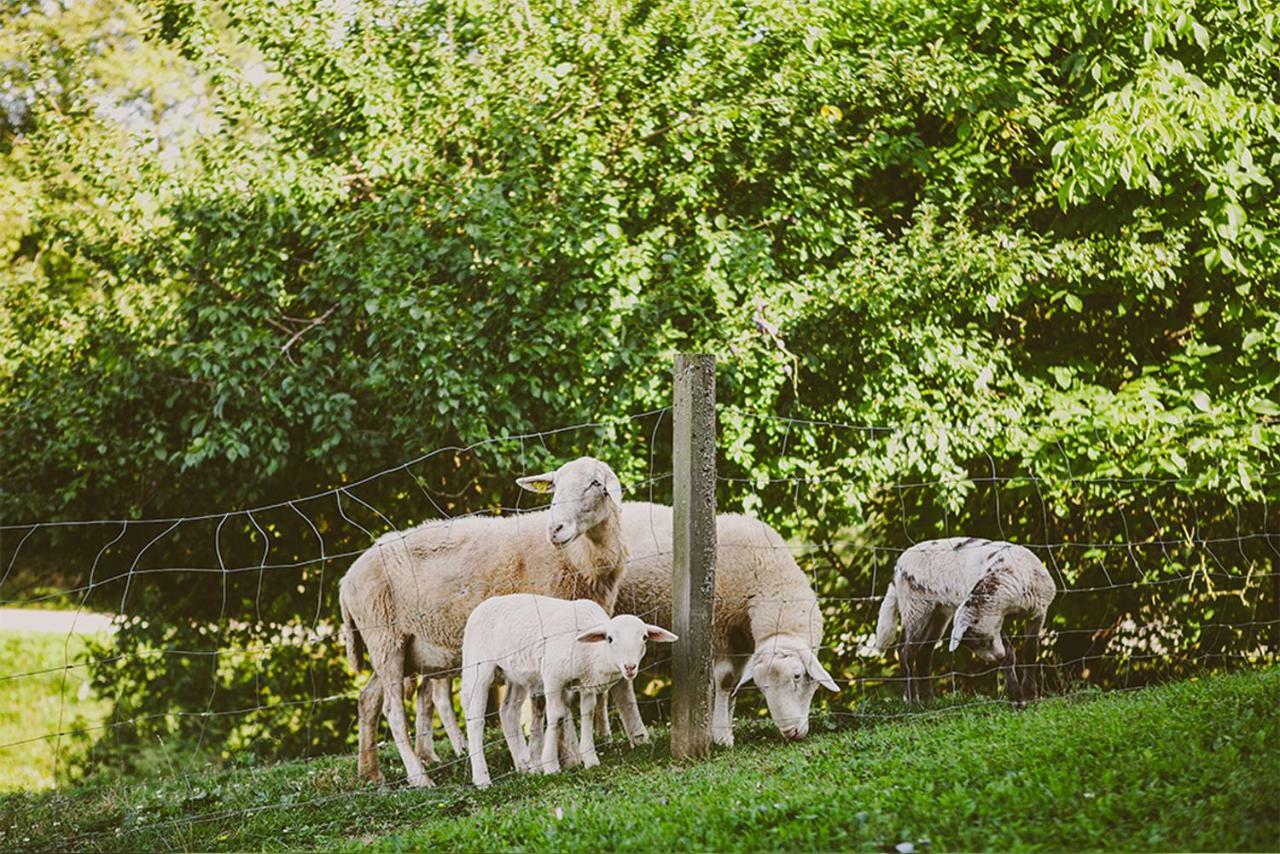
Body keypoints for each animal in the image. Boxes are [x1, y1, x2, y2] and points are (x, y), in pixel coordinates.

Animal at [340, 453, 640, 788]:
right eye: (555, 486)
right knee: (393, 710)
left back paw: (370, 773)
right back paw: (419, 777)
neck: (581, 559)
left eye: (595, 483)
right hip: (385, 637)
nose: (555, 529)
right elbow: (550, 704)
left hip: (395, 647)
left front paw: (547, 757)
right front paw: (562, 757)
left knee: (368, 699)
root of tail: (346, 578)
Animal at [463, 594, 680, 788]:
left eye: (644, 637)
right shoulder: (552, 676)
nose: (630, 667)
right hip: (478, 668)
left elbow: (587, 713)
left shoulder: (587, 684)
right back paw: (482, 779)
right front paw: (550, 765)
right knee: (475, 720)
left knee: (508, 712)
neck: (594, 654)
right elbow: (557, 715)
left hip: (517, 674)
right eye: (609, 639)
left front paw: (590, 759)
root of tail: (481, 606)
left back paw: (525, 767)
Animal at [611, 504, 839, 742]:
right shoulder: (719, 631)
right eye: (761, 686)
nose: (790, 732)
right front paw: (721, 736)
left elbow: (734, 684)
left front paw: (725, 727)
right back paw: (636, 735)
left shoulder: (741, 646)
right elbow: (725, 680)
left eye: (797, 676)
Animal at [870, 537, 1059, 706]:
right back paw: (911, 701)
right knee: (905, 651)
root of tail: (898, 566)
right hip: (915, 605)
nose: (994, 658)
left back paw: (928, 699)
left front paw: (1030, 694)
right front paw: (1016, 698)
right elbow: (1010, 655)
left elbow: (1030, 652)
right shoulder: (998, 618)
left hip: (938, 612)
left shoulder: (1038, 613)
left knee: (923, 652)